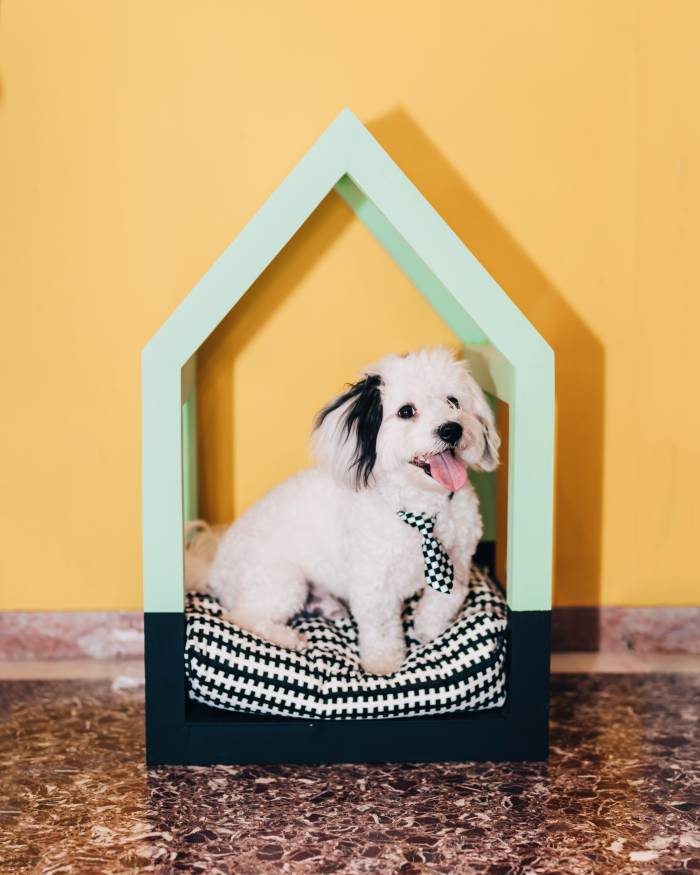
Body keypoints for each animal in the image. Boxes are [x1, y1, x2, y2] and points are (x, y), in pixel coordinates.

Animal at [208, 350, 498, 676]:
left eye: (453, 402)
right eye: (406, 411)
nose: (451, 429)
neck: (423, 508)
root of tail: (214, 565)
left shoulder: (459, 560)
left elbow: (448, 596)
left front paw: (427, 627)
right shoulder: (374, 581)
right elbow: (381, 626)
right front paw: (382, 664)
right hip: (280, 580)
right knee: (241, 616)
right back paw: (286, 637)